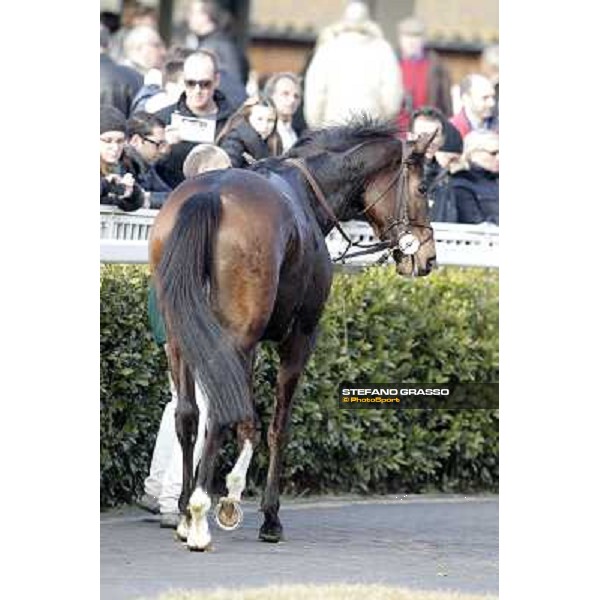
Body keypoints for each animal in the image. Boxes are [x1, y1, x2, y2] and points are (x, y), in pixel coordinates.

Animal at [145, 119, 436, 552]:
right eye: (422, 188)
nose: (428, 258)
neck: (306, 194)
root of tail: (211, 196)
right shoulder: (298, 339)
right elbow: (276, 426)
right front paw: (266, 515)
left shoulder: (247, 345)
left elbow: (246, 418)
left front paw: (231, 499)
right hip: (234, 338)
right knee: (216, 414)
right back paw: (197, 517)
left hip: (182, 339)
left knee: (188, 415)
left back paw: (184, 512)